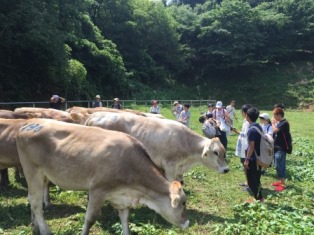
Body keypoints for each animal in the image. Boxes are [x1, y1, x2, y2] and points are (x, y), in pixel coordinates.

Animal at [15, 119, 189, 235]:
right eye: (183, 203)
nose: (187, 223)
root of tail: (29, 123)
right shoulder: (97, 190)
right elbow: (90, 219)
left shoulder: (121, 197)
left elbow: (125, 219)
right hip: (32, 169)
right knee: (36, 201)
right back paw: (45, 230)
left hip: (41, 173)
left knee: (33, 198)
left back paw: (35, 226)